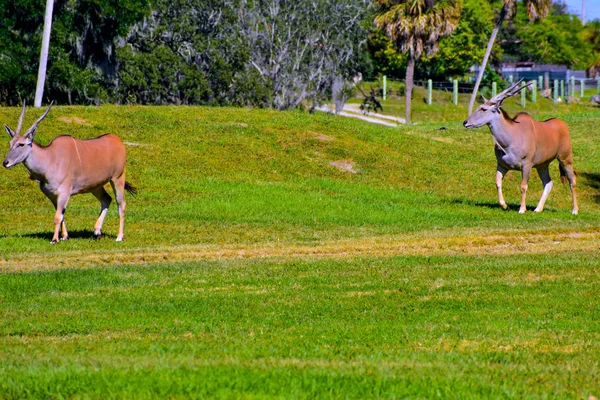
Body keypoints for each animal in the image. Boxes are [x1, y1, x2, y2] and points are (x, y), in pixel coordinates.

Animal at [2, 101, 136, 242]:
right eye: (10, 143)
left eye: (21, 144)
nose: (5, 163)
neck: (50, 159)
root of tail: (117, 140)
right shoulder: (52, 194)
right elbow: (61, 215)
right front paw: (64, 236)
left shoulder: (64, 193)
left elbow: (57, 216)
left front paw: (55, 239)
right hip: (95, 186)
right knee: (106, 199)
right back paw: (97, 231)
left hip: (117, 178)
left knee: (121, 204)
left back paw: (119, 236)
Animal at [462, 81, 580, 216]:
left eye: (483, 109)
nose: (465, 122)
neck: (511, 138)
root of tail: (562, 124)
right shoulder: (502, 165)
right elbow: (498, 183)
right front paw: (504, 205)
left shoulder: (526, 165)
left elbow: (523, 186)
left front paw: (522, 209)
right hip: (542, 165)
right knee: (548, 182)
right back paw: (538, 209)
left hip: (566, 158)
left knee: (572, 180)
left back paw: (575, 210)